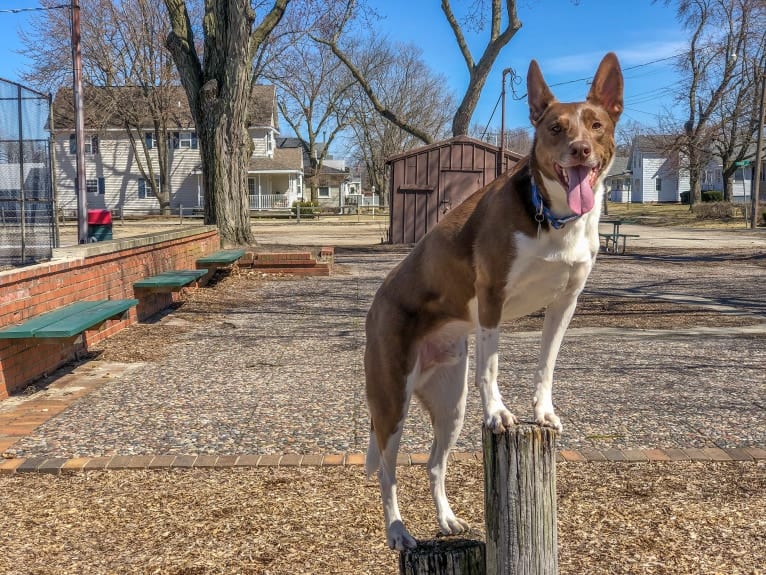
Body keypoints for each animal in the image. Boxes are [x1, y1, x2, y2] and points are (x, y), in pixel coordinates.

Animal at [364, 53, 624, 548]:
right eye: (556, 128)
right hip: (391, 401)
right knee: (387, 473)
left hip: (450, 403)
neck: (553, 218)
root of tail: (377, 301)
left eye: (596, 125)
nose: (580, 149)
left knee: (434, 464)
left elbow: (546, 365)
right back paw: (397, 530)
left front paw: (543, 412)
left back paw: (446, 519)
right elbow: (492, 365)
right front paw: (500, 413)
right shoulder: (491, 297)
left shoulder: (565, 303)